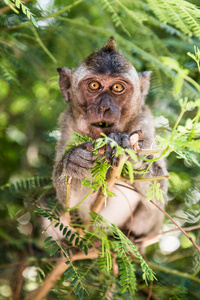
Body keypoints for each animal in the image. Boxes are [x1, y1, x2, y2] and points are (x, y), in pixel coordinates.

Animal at [49, 37, 167, 244]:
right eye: (94, 85)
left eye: (117, 87)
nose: (104, 106)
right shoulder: (67, 122)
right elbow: (67, 202)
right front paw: (72, 162)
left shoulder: (144, 120)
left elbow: (159, 192)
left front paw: (128, 151)